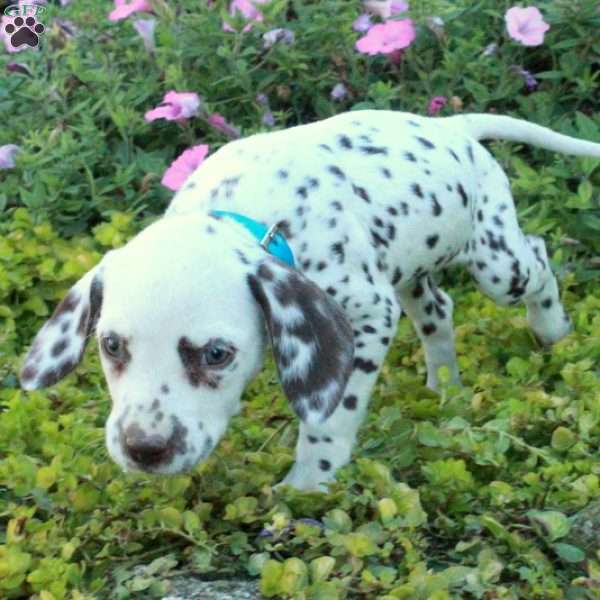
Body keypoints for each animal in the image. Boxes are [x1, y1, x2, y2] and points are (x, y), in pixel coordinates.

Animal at [18, 110, 600, 490]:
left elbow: (329, 416)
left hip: (497, 262)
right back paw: (446, 388)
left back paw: (552, 331)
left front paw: (307, 486)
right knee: (438, 312)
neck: (260, 214)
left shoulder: (367, 317)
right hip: (411, 270)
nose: (144, 449)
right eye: (111, 346)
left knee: (538, 257)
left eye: (217, 354)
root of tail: (453, 127)